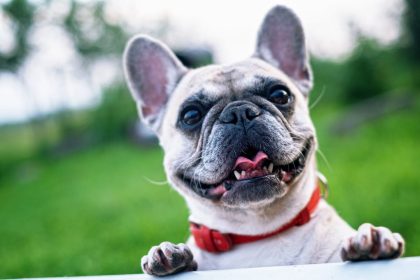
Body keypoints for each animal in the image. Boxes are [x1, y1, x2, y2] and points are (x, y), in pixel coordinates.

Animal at [123, 5, 406, 276]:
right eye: (191, 115)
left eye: (280, 94)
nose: (239, 112)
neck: (258, 232)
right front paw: (168, 255)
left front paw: (372, 241)